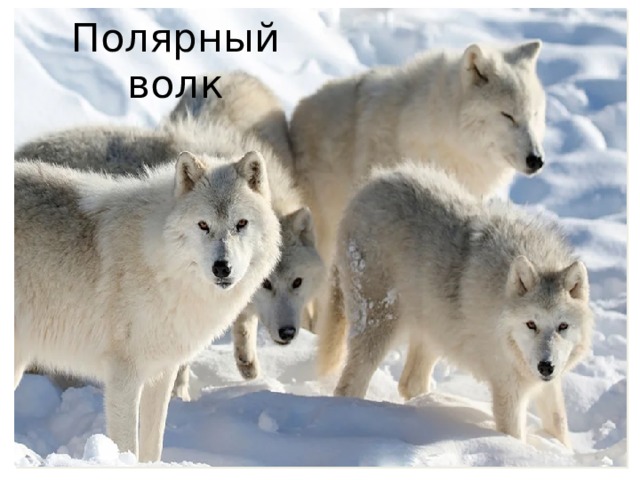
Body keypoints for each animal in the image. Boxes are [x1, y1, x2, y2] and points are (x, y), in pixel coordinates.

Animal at [14, 151, 281, 462]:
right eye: (203, 225)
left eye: (241, 224)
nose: (222, 267)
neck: (161, 265)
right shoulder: (123, 376)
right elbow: (129, 444)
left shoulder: (163, 372)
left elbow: (153, 444)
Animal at [319, 163, 593, 447]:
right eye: (531, 324)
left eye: (563, 326)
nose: (545, 366)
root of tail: (368, 187)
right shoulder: (508, 388)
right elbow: (514, 435)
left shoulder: (548, 383)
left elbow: (559, 425)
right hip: (381, 328)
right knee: (349, 386)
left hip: (433, 331)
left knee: (410, 383)